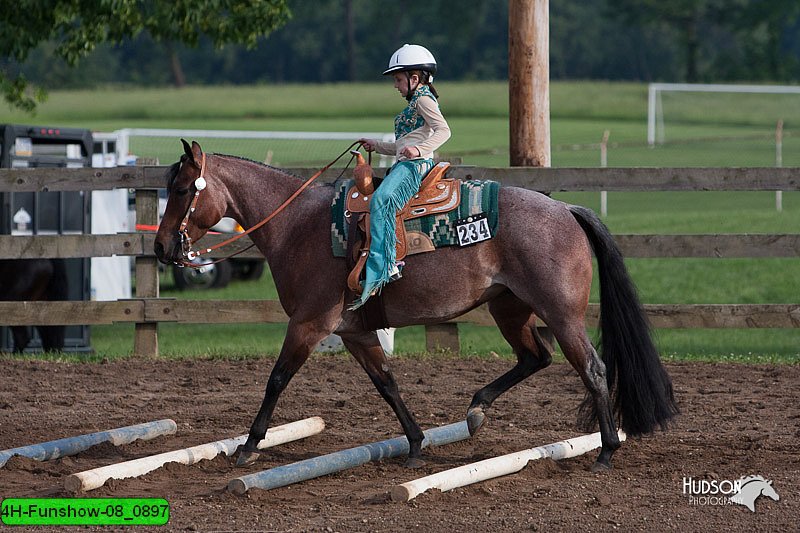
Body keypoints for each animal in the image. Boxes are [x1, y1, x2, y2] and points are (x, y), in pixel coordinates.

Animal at [155, 141, 676, 470]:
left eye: (181, 189)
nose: (161, 248)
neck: (298, 226)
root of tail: (566, 209)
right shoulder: (354, 331)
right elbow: (387, 383)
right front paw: (416, 444)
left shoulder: (309, 324)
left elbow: (277, 379)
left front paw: (248, 446)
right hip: (509, 309)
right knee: (536, 357)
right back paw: (477, 410)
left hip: (562, 315)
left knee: (591, 368)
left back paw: (605, 451)